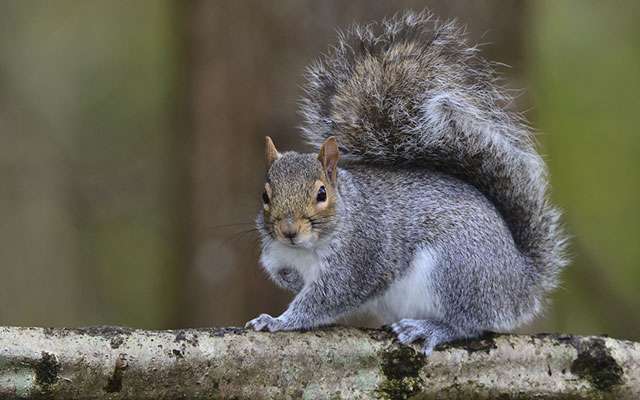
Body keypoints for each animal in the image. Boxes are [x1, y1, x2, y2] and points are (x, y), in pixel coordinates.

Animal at [246, 11, 568, 355]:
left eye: (321, 193)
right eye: (265, 195)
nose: (289, 231)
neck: (306, 248)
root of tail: (520, 283)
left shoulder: (360, 258)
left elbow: (326, 298)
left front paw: (279, 321)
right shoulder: (275, 254)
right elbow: (283, 274)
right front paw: (288, 283)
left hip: (455, 269)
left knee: (468, 324)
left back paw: (431, 329)